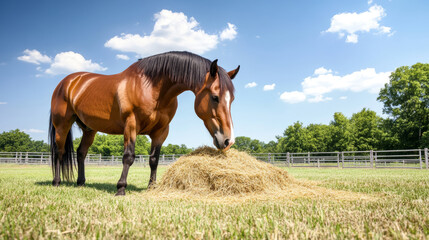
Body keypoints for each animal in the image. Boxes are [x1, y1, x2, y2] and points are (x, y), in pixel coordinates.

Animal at [49, 51, 241, 195]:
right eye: (215, 97)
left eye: (232, 99)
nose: (228, 140)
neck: (151, 88)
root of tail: (68, 82)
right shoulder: (131, 125)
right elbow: (128, 157)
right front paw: (121, 188)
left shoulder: (161, 131)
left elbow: (154, 160)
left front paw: (152, 187)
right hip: (62, 125)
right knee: (60, 152)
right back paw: (56, 182)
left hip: (90, 129)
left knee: (81, 152)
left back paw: (81, 183)